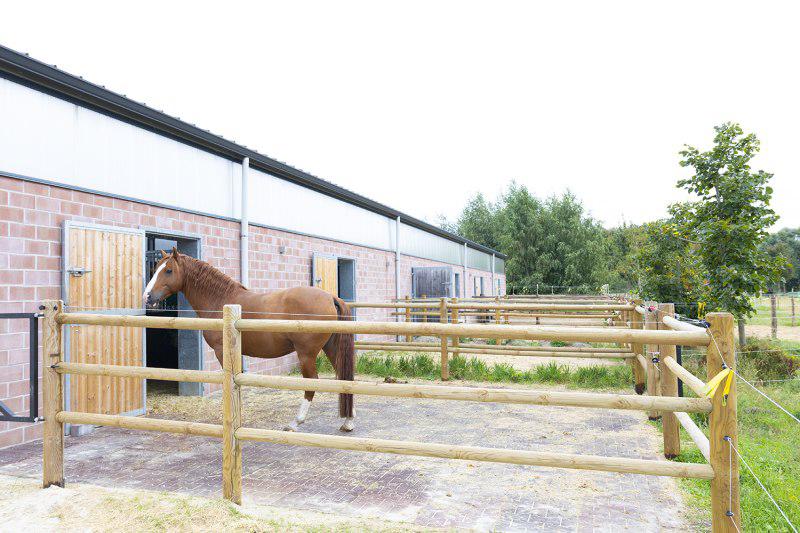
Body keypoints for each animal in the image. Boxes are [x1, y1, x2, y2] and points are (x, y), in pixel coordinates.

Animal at [142, 247, 356, 432]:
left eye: (168, 270)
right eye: (155, 268)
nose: (147, 296)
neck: (221, 300)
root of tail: (330, 297)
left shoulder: (221, 352)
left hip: (307, 354)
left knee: (312, 383)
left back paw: (296, 422)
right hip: (331, 348)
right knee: (343, 378)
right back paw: (348, 421)